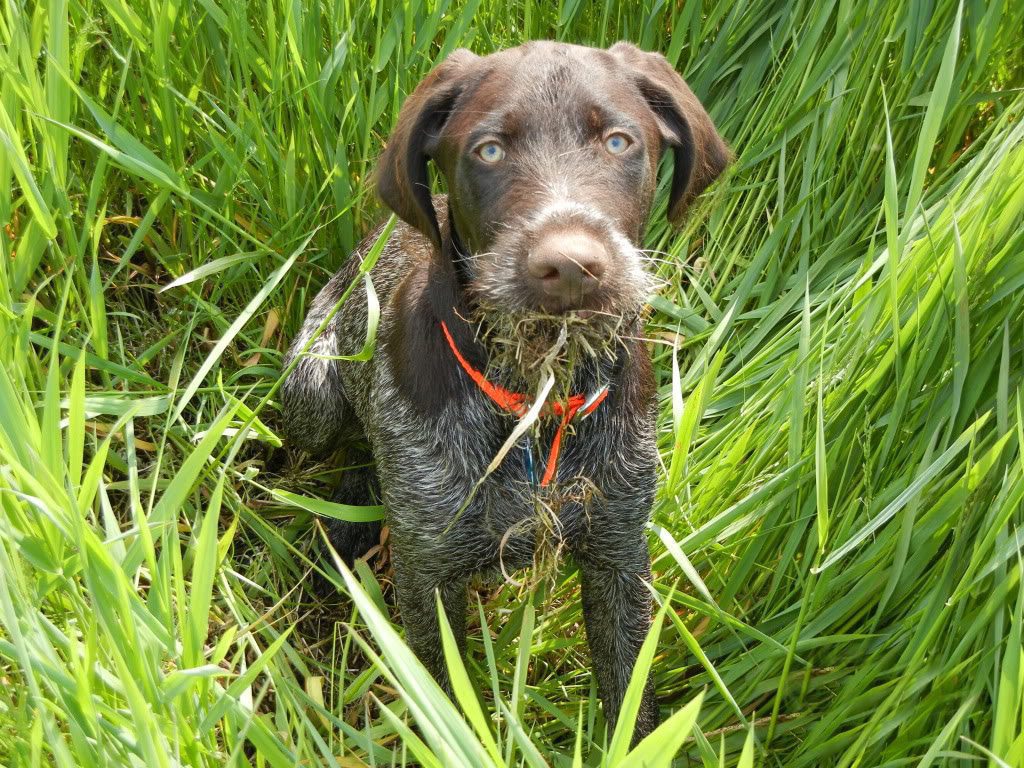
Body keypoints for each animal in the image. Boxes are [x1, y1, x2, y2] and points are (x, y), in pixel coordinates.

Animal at [280, 39, 729, 741]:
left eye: (619, 142)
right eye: (489, 151)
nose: (570, 265)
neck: (538, 393)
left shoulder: (620, 559)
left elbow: (632, 706)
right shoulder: (429, 573)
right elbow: (445, 700)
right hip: (311, 396)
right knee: (349, 441)